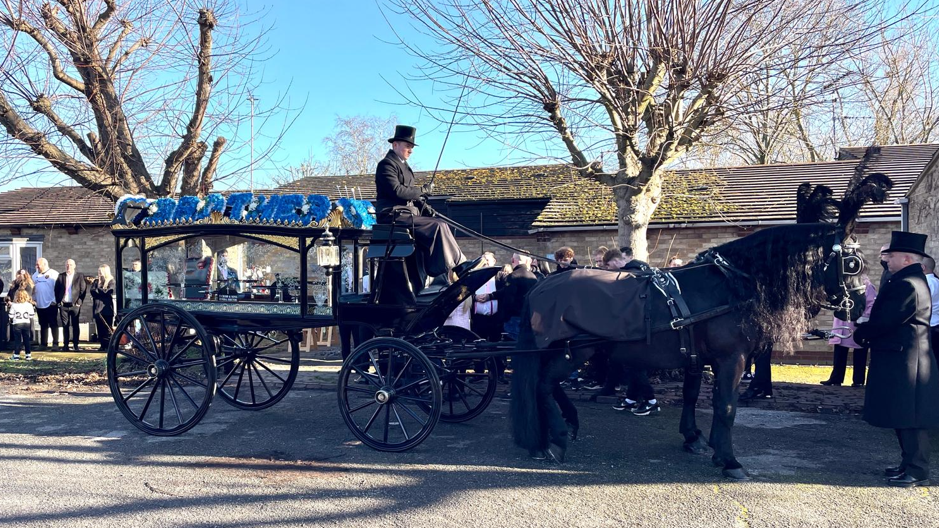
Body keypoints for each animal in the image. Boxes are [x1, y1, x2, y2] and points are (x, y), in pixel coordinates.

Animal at [516, 175, 888, 480]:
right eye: (852, 263)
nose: (859, 305)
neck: (731, 286)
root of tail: (543, 286)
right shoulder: (731, 359)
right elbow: (726, 406)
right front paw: (728, 459)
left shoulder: (696, 356)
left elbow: (692, 395)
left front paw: (694, 438)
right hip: (577, 350)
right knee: (544, 384)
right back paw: (556, 439)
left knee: (546, 384)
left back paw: (562, 426)